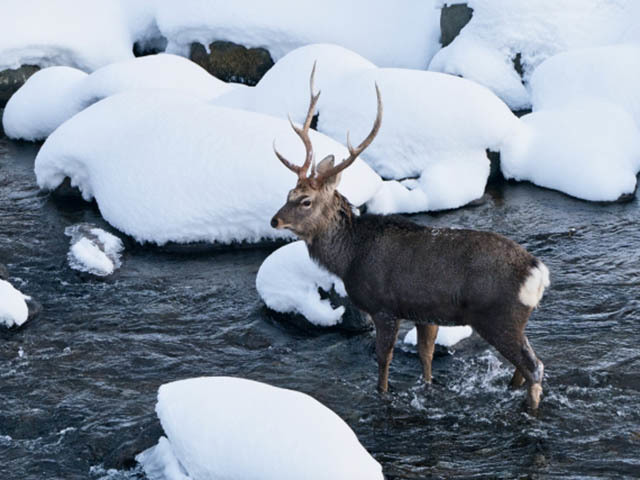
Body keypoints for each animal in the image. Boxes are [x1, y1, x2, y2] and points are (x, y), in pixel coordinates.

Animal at [270, 63, 552, 408]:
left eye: (305, 201)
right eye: (288, 193)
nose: (275, 220)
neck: (350, 257)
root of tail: (538, 273)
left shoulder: (384, 307)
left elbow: (383, 359)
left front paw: (382, 394)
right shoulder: (425, 312)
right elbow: (425, 356)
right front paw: (428, 388)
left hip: (498, 315)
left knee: (534, 366)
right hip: (512, 319)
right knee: (523, 365)